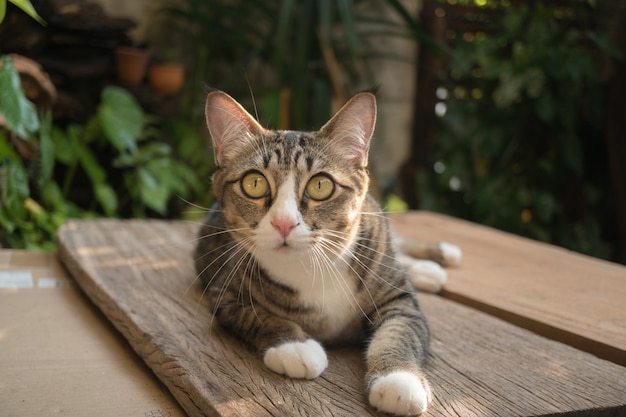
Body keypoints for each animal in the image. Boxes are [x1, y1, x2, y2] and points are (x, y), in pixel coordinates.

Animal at [193, 89, 460, 414]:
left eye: (321, 185)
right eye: (254, 183)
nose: (284, 223)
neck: (314, 265)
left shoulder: (399, 298)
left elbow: (401, 330)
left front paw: (398, 380)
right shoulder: (225, 293)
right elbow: (258, 317)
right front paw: (294, 347)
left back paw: (436, 258)